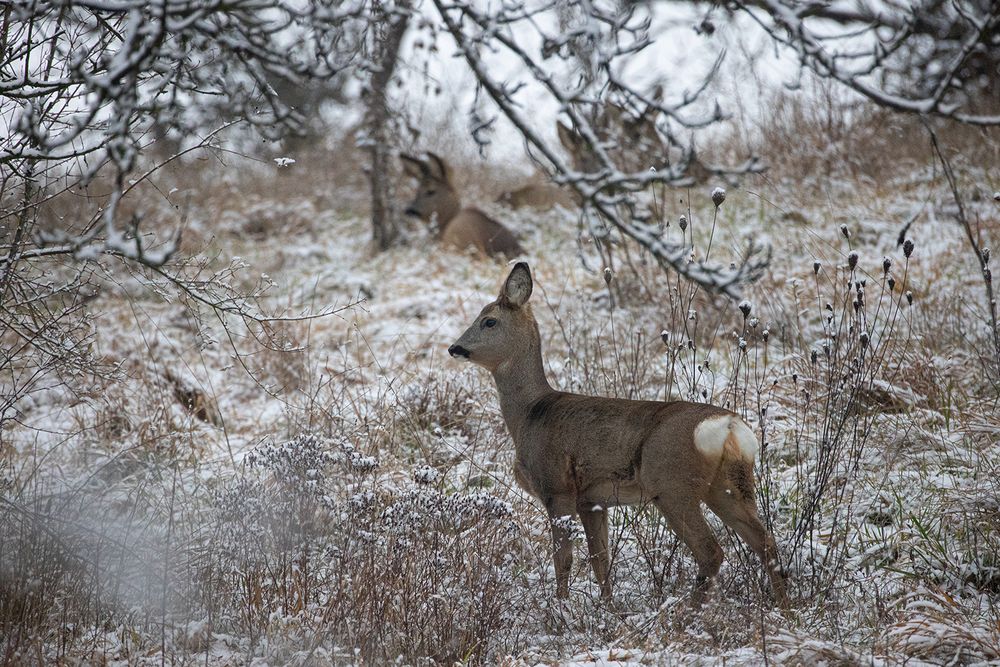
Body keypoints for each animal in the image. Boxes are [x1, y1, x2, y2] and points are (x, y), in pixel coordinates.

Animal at [448, 264, 788, 608]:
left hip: (671, 484)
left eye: (489, 320)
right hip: (728, 485)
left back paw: (689, 612)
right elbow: (601, 560)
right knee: (766, 542)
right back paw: (784, 608)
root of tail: (730, 428)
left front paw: (560, 607)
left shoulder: (557, 488)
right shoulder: (592, 501)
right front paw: (608, 608)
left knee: (711, 551)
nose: (454, 348)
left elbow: (564, 559)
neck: (530, 413)